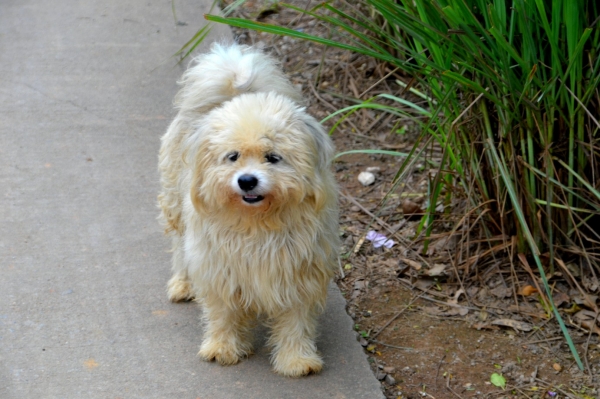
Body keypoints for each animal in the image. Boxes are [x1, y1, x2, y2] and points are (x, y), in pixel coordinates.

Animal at [157, 43, 340, 378]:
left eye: (273, 157)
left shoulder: (300, 271)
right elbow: (223, 313)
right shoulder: (219, 267)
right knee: (179, 247)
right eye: (233, 156)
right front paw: (223, 347)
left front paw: (296, 358)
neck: (258, 224)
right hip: (175, 203)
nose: (246, 181)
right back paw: (183, 284)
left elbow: (296, 320)